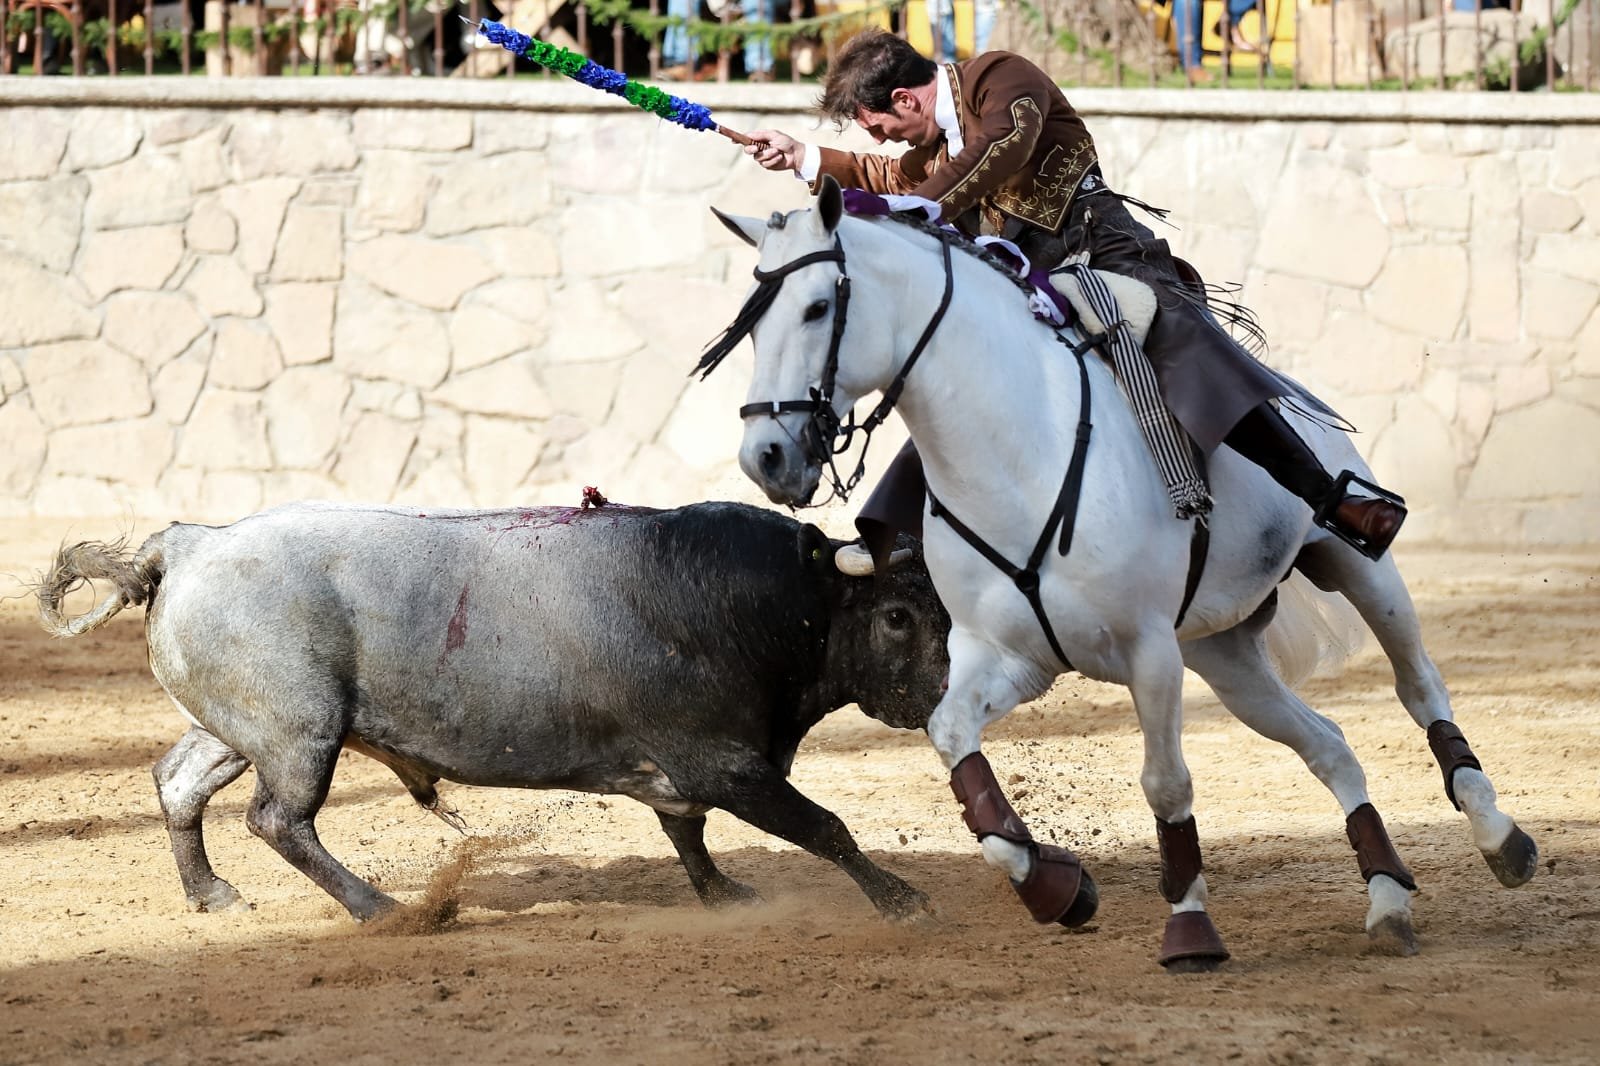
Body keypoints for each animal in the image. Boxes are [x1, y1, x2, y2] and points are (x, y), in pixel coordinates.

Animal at [35, 497, 951, 923]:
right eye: (898, 616)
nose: (943, 693)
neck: (755, 605)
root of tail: (193, 541)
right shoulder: (726, 762)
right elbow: (824, 826)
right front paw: (904, 902)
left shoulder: (688, 771)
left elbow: (686, 832)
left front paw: (726, 896)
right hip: (302, 735)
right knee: (278, 820)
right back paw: (384, 910)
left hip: (241, 727)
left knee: (179, 781)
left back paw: (211, 894)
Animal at [702, 176, 1537, 970]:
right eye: (751, 322)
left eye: (817, 307)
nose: (766, 457)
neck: (1015, 453)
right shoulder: (1008, 654)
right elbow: (953, 743)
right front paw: (1056, 889)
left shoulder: (1148, 651)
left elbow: (1165, 782)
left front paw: (1189, 928)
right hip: (1225, 655)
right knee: (1327, 741)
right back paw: (1388, 898)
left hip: (1354, 569)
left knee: (1417, 684)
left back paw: (1499, 836)